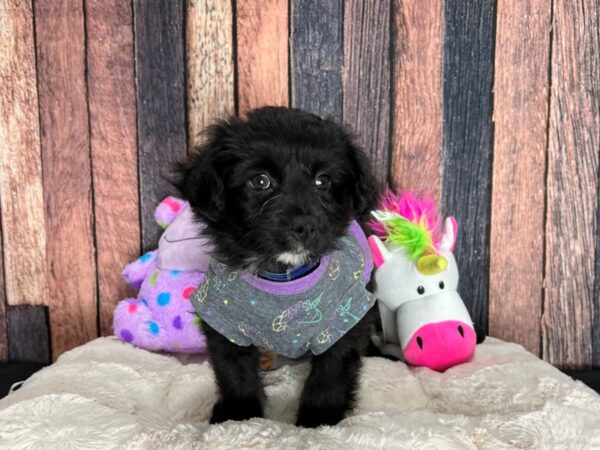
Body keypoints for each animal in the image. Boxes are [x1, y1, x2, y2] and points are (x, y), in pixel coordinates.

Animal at [175, 107, 380, 428]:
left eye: (323, 181)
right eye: (260, 181)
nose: (305, 226)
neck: (283, 276)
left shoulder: (345, 318)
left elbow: (331, 371)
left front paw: (318, 419)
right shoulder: (222, 319)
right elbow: (234, 371)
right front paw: (238, 415)